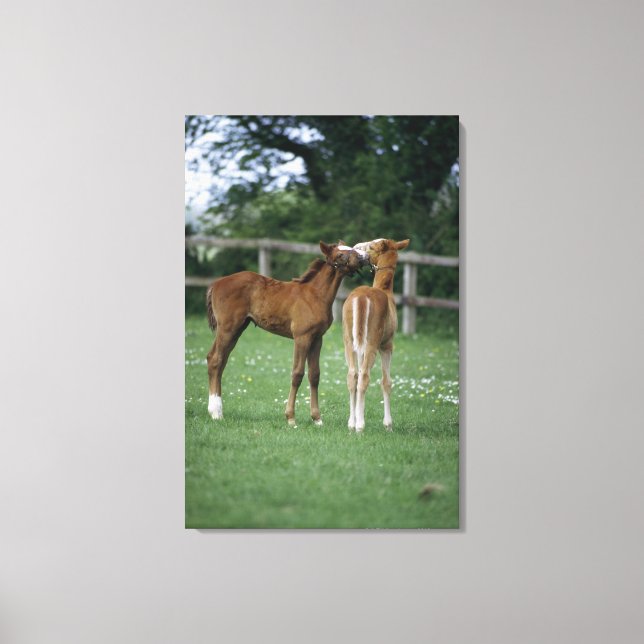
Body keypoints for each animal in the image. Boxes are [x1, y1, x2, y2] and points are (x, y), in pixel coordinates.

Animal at [205, 241, 368, 426]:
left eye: (351, 249)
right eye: (340, 255)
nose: (363, 257)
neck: (315, 295)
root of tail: (216, 284)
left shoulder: (317, 339)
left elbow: (314, 375)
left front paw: (317, 419)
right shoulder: (302, 337)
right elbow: (297, 374)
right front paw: (291, 418)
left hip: (237, 329)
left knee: (219, 361)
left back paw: (217, 410)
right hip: (228, 328)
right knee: (215, 360)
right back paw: (216, 412)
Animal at [342, 238, 410, 432]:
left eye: (372, 246)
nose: (356, 248)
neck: (385, 289)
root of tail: (361, 298)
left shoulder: (361, 347)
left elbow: (357, 376)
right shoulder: (387, 345)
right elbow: (386, 382)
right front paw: (388, 424)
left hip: (349, 340)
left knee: (353, 375)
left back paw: (351, 424)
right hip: (372, 342)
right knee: (364, 376)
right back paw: (360, 426)